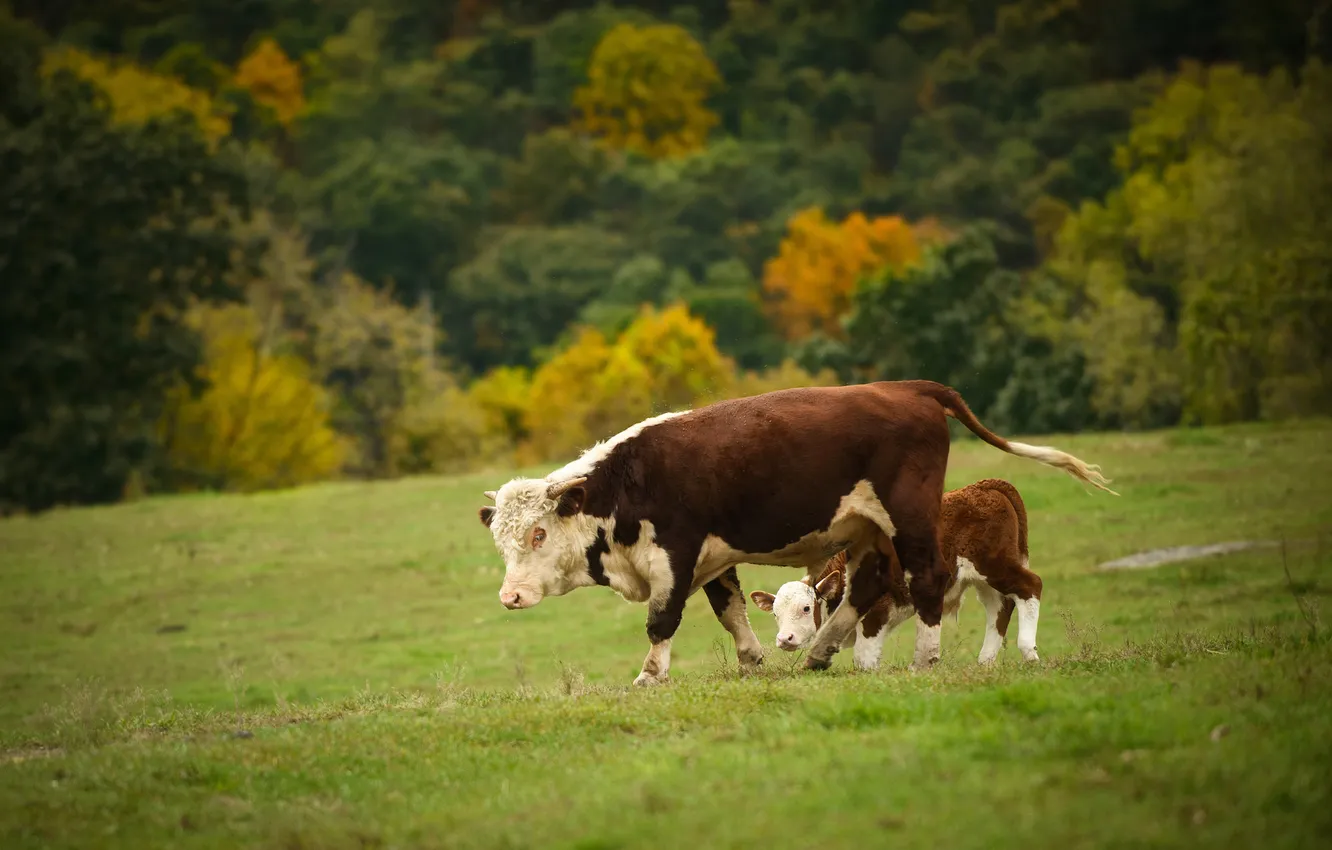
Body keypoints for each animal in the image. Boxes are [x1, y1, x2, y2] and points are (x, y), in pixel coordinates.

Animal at [750, 478, 1042, 670]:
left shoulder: (877, 613)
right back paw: (985, 661)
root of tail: (984, 486)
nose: (784, 639)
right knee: (999, 608)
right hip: (982, 579)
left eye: (807, 608)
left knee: (1031, 587)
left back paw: (1028, 652)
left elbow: (863, 660)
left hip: (995, 566)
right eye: (774, 613)